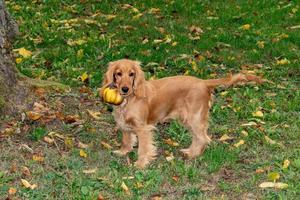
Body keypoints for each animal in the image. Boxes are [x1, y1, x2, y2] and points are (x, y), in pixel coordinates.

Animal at [101, 58, 262, 168]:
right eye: (118, 74)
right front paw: (123, 152)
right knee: (198, 137)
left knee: (204, 138)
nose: (125, 89)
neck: (129, 99)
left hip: (194, 117)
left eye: (131, 74)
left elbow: (144, 148)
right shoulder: (124, 124)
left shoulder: (143, 128)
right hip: (189, 119)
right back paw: (190, 151)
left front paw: (140, 164)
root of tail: (203, 82)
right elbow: (126, 139)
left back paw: (193, 154)